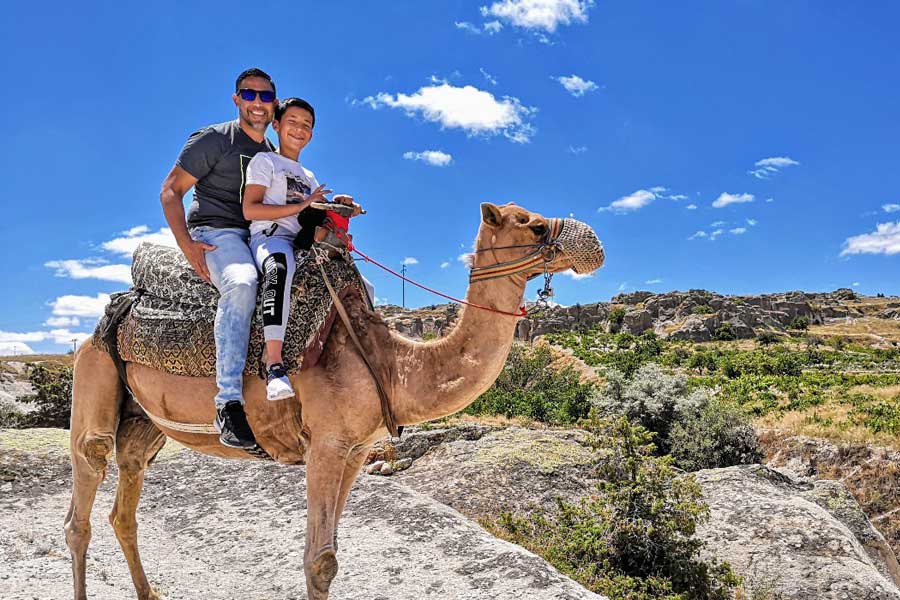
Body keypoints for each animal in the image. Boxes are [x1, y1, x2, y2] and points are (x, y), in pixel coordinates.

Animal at [65, 203, 604, 600]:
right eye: (534, 224)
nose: (592, 241)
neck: (391, 361)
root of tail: (115, 309)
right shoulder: (324, 444)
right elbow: (319, 561)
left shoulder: (357, 449)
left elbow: (332, 552)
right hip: (93, 373)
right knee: (83, 499)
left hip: (143, 422)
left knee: (126, 496)